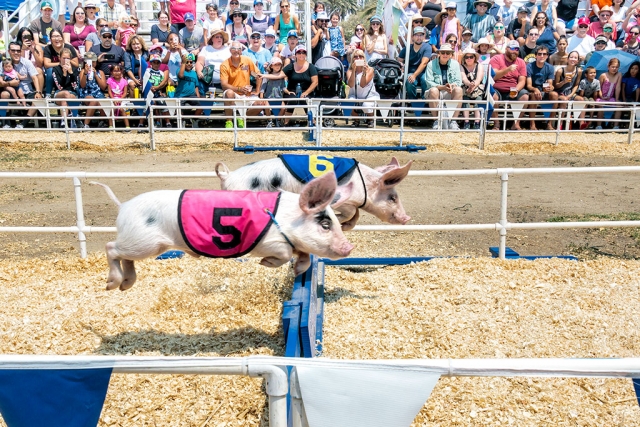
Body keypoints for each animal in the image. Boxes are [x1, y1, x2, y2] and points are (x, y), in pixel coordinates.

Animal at [92, 172, 356, 292]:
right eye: (325, 225)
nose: (349, 247)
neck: (285, 219)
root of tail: (123, 207)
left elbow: (305, 256)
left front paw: (299, 269)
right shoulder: (269, 240)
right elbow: (282, 253)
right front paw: (265, 263)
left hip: (145, 245)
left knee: (123, 256)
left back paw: (125, 286)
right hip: (144, 242)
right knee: (110, 248)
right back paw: (111, 285)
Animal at [218, 156, 412, 231]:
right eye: (393, 198)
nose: (407, 218)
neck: (363, 184)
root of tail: (227, 176)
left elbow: (355, 214)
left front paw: (345, 226)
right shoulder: (342, 198)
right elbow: (351, 211)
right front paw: (339, 220)